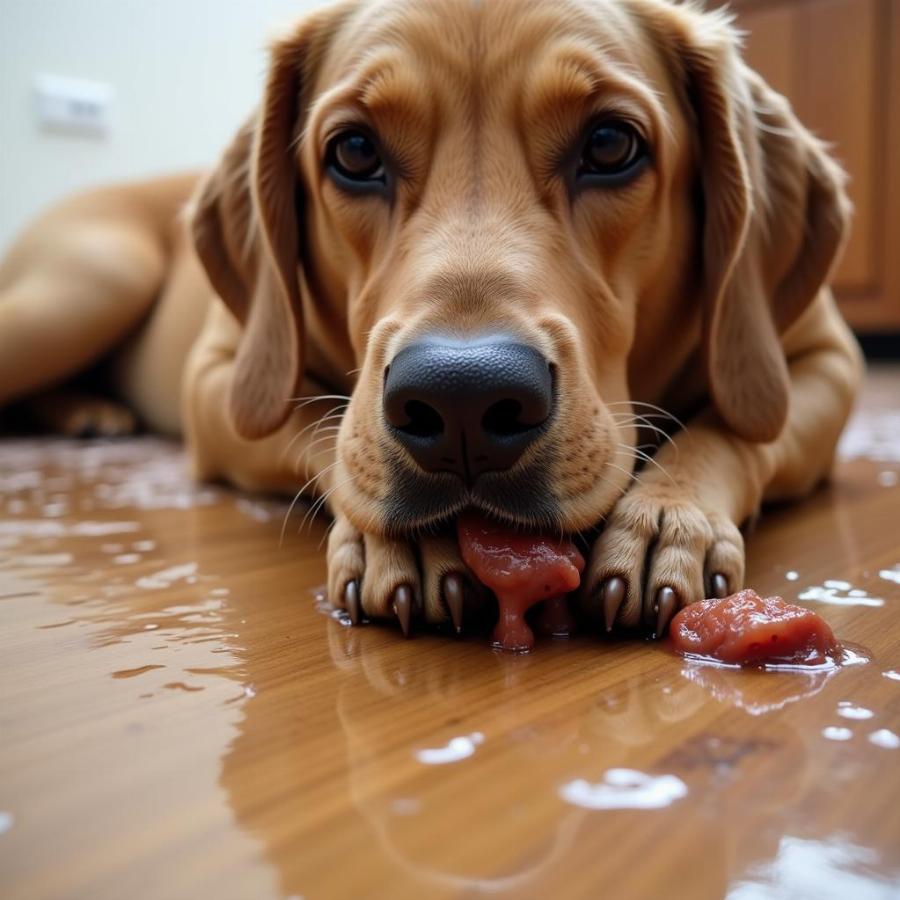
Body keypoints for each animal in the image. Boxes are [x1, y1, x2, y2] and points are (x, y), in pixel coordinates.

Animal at [0, 0, 860, 636]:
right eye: (353, 152)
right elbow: (317, 424)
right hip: (92, 283)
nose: (463, 400)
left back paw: (88, 412)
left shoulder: (822, 361)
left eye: (612, 143)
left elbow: (738, 428)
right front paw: (408, 542)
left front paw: (667, 516)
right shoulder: (220, 383)